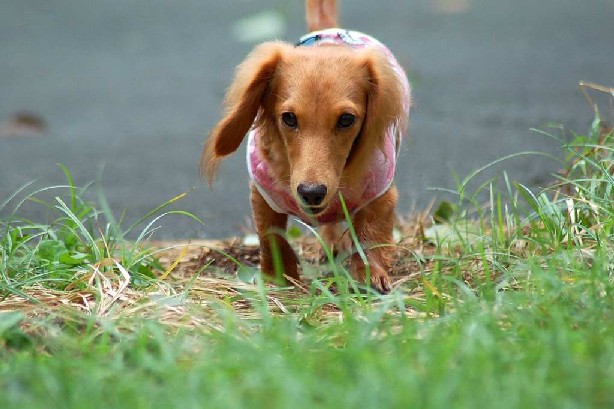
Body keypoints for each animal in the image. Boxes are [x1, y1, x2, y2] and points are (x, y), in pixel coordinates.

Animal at [205, 0, 412, 294]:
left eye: (346, 119)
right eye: (289, 118)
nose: (311, 193)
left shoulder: (381, 195)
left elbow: (371, 236)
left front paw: (370, 274)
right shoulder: (263, 192)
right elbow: (271, 235)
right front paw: (278, 276)